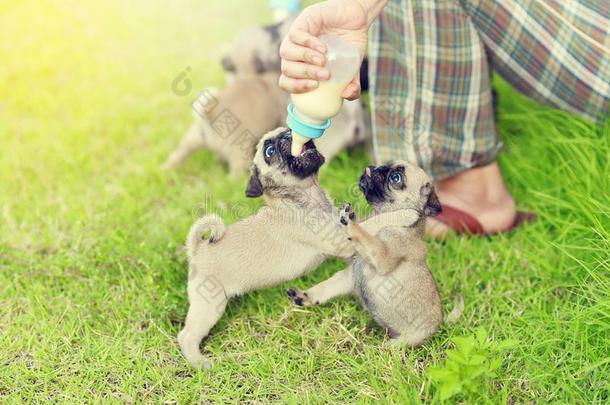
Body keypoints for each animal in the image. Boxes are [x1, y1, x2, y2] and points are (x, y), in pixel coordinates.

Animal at [176, 128, 356, 368]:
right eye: (269, 151)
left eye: (287, 131)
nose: (289, 135)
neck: (307, 197)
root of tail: (197, 250)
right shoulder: (339, 242)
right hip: (210, 305)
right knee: (186, 336)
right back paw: (200, 363)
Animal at [284, 163, 460, 346]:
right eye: (383, 165)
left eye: (396, 178)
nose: (371, 168)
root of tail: (440, 325)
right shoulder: (350, 273)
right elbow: (326, 286)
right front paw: (307, 296)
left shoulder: (382, 257)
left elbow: (367, 237)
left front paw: (352, 224)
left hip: (409, 339)